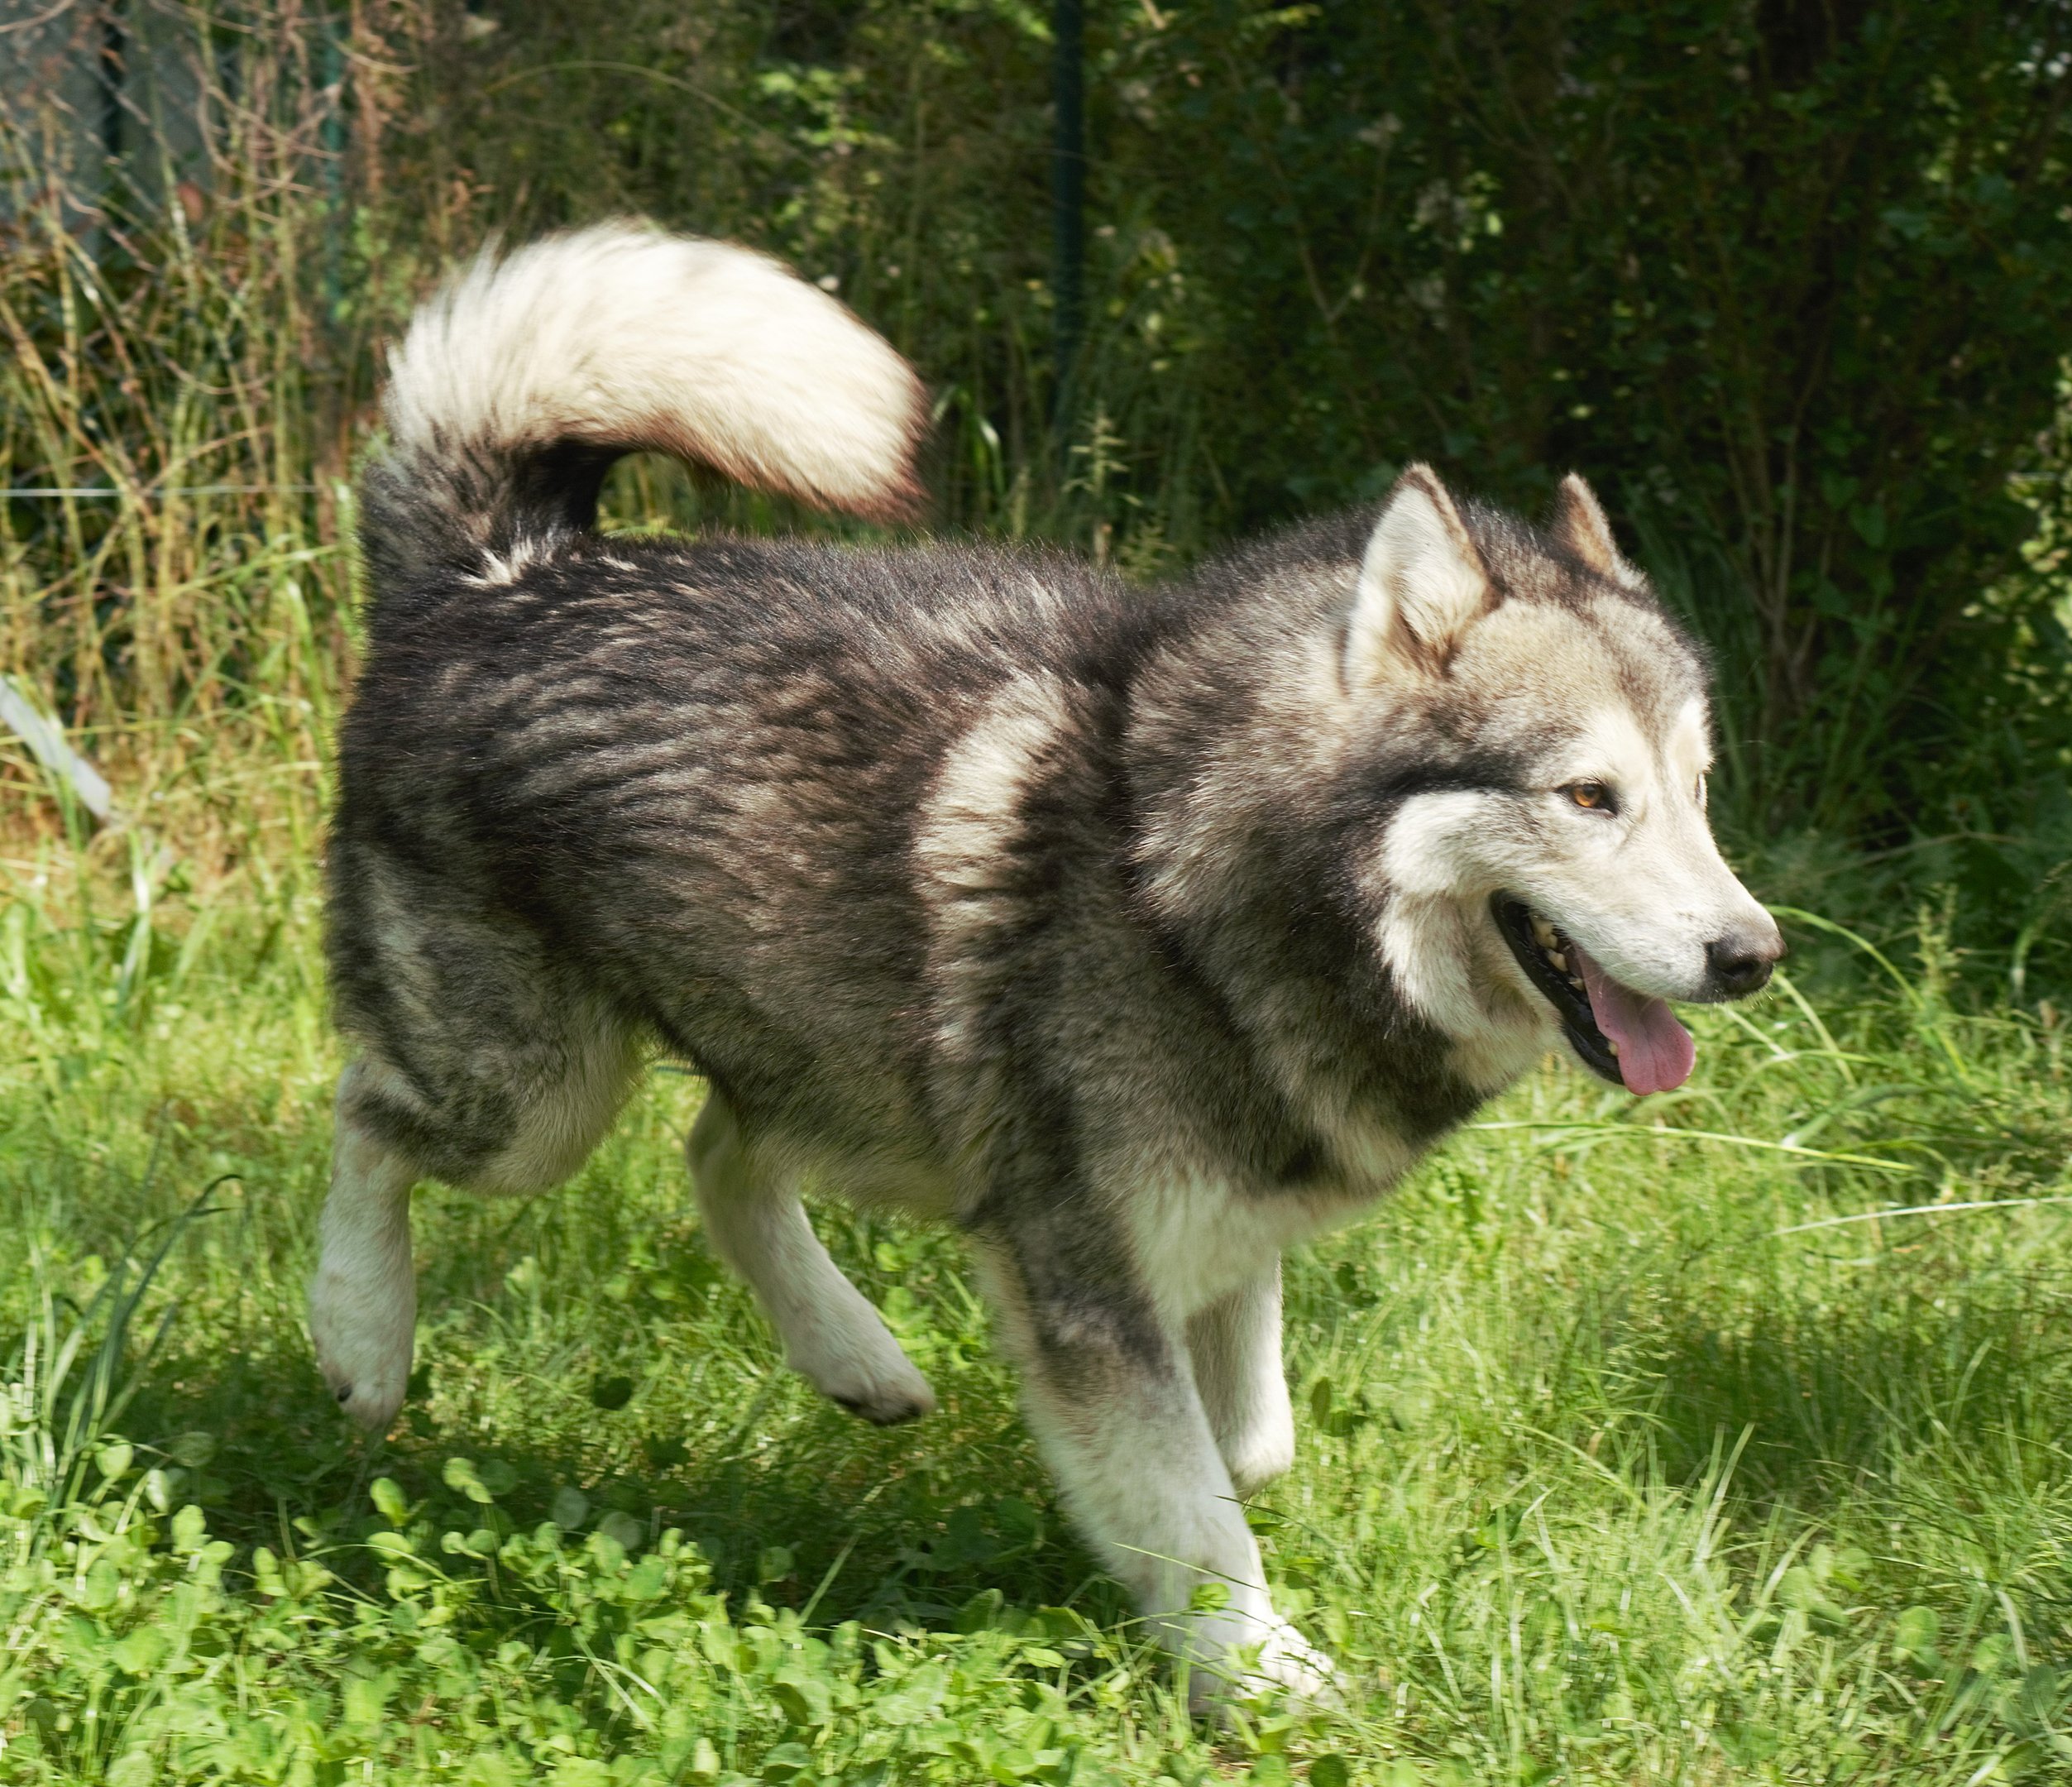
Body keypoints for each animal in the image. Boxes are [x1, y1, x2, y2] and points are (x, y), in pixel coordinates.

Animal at [309, 223, 1782, 1706]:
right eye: (1587, 796)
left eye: (1701, 789)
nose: (1753, 956)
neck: (1192, 887)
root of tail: (498, 575)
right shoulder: (1086, 1278)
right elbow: (1201, 1511)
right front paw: (1267, 1680)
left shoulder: (1219, 1234)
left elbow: (1248, 1453)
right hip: (529, 1110)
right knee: (368, 1117)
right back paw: (359, 1342)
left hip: (789, 1062)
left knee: (716, 1154)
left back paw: (853, 1358)